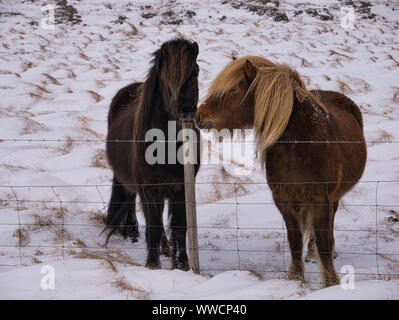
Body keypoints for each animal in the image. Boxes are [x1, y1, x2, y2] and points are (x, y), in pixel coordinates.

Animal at [105, 38, 200, 270]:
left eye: (196, 71)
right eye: (166, 79)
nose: (186, 112)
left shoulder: (180, 189)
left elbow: (180, 228)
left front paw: (182, 265)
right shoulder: (148, 190)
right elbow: (154, 229)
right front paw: (153, 265)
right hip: (129, 180)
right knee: (130, 199)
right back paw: (131, 231)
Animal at [195, 56, 368, 286]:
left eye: (233, 89)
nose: (198, 116)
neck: (301, 145)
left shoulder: (321, 200)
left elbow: (323, 243)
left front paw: (331, 283)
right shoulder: (284, 200)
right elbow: (294, 241)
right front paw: (296, 278)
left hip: (333, 199)